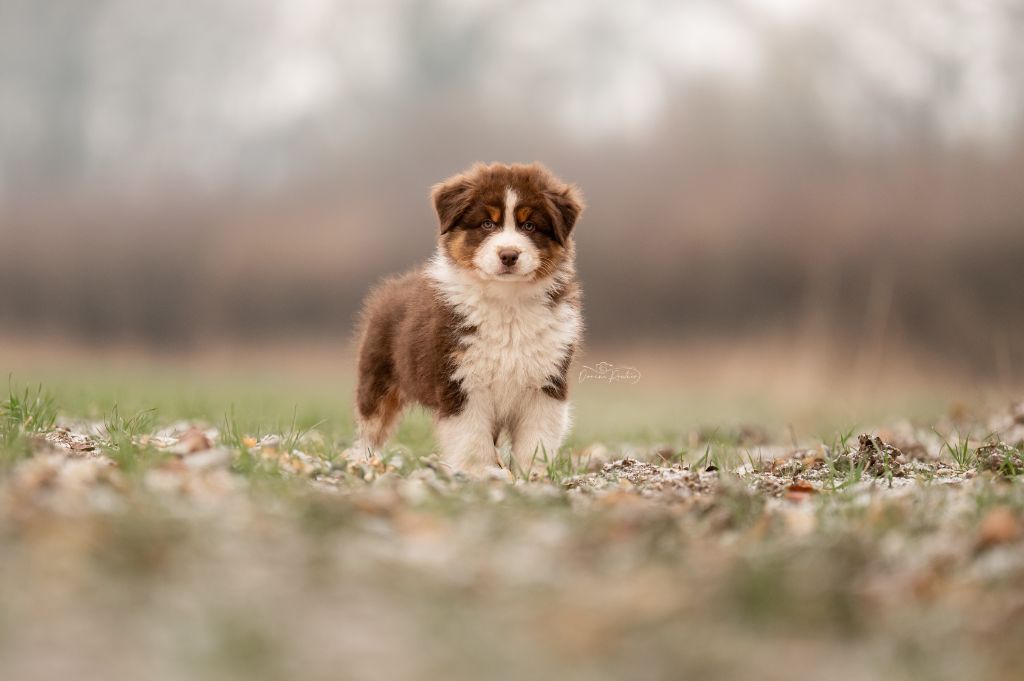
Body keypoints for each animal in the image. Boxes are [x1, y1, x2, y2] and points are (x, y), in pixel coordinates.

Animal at [354, 162, 585, 473]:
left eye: (529, 226)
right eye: (487, 224)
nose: (508, 255)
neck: (507, 304)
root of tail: (393, 286)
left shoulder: (545, 383)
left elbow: (536, 439)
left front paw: (532, 474)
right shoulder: (460, 382)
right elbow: (472, 438)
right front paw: (481, 473)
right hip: (377, 378)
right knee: (371, 427)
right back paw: (362, 461)